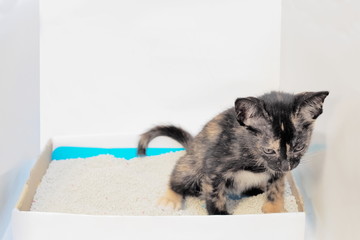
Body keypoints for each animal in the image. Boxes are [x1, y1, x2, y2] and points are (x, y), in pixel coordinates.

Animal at [136, 91, 328, 215]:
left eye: (299, 148)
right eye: (268, 150)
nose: (286, 166)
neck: (253, 156)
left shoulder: (277, 171)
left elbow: (276, 186)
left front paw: (275, 209)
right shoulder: (213, 166)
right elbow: (215, 195)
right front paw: (219, 215)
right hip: (192, 164)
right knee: (178, 177)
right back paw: (170, 198)